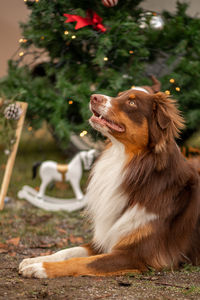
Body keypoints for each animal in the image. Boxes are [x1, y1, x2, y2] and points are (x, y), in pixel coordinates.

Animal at [19, 87, 200, 278]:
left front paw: (40, 268)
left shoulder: (136, 255)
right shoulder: (103, 240)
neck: (127, 160)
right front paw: (34, 259)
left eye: (132, 103)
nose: (94, 96)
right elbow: (69, 251)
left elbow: (81, 262)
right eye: (120, 94)